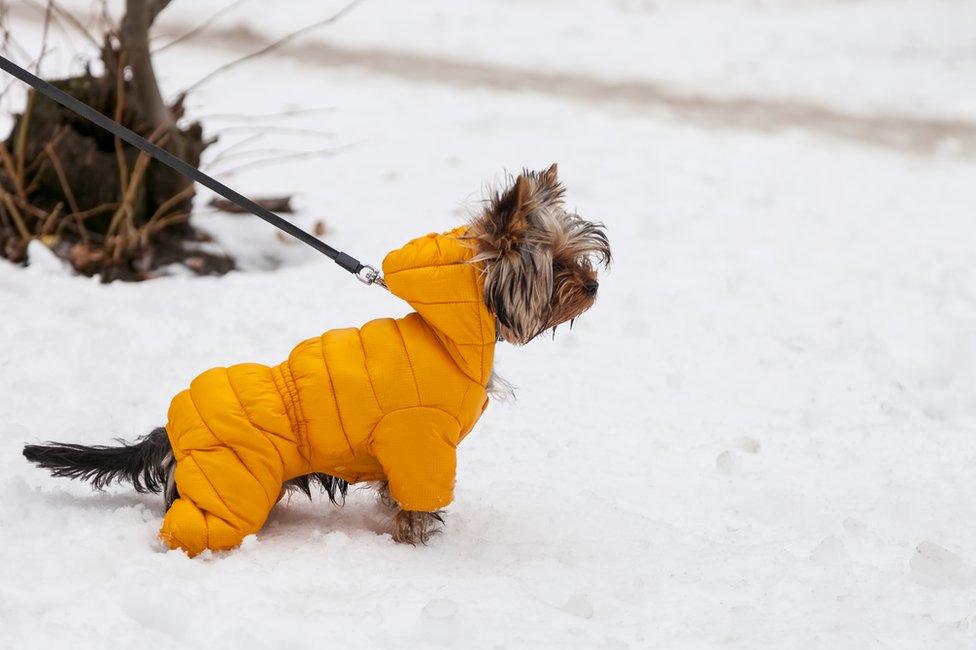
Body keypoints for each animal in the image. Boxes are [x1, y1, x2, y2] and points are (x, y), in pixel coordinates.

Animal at [22, 165, 608, 556]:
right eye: (558, 262)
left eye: (579, 257)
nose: (594, 285)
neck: (452, 328)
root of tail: (168, 432)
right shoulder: (419, 441)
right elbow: (417, 500)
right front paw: (417, 541)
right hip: (236, 486)